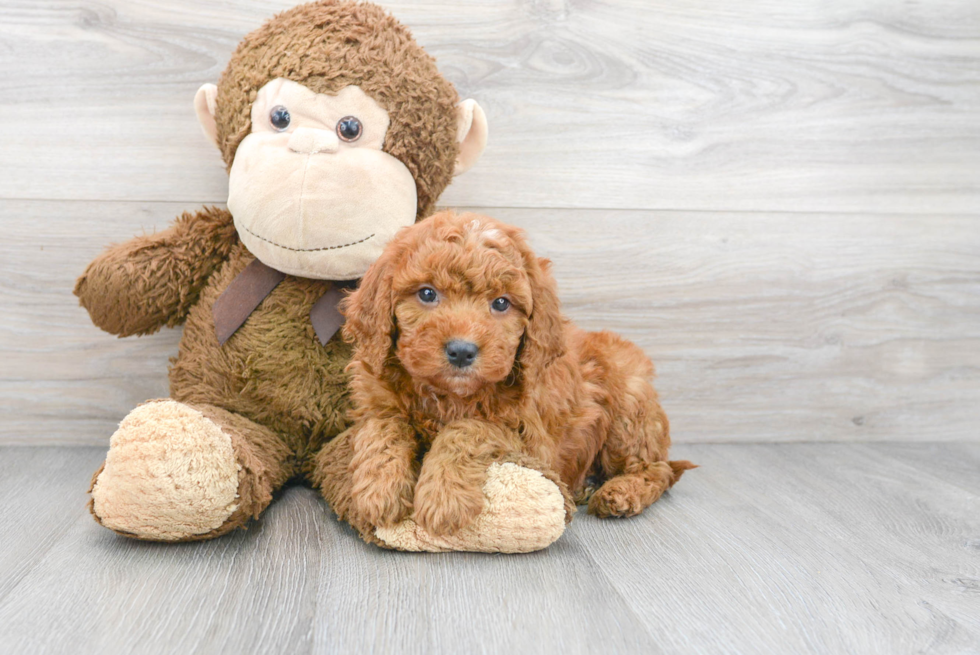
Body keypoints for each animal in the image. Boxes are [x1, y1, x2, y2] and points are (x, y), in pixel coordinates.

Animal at [340, 210, 692, 540]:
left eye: (501, 303)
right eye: (427, 294)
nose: (462, 351)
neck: (450, 396)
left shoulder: (532, 441)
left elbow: (466, 429)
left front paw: (444, 497)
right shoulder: (376, 402)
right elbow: (384, 428)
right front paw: (378, 490)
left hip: (629, 407)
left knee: (657, 468)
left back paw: (619, 493)